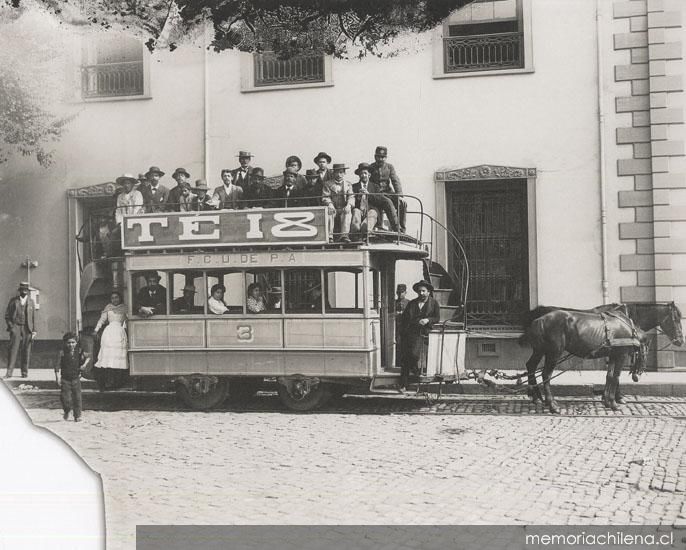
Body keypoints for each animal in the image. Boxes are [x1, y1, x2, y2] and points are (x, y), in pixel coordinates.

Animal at [520, 302, 684, 414]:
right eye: (676, 319)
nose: (680, 341)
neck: (628, 319)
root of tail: (539, 319)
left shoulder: (613, 354)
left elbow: (610, 376)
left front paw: (608, 399)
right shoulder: (621, 354)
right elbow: (616, 376)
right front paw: (615, 400)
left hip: (540, 350)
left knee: (531, 366)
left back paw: (536, 396)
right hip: (554, 352)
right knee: (545, 375)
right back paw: (552, 404)